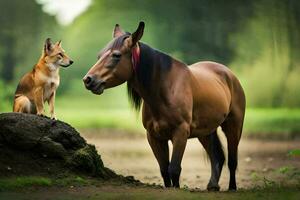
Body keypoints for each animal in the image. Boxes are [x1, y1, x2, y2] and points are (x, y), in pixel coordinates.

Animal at [83, 21, 245, 191]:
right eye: (99, 55)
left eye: (116, 55)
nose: (88, 80)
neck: (166, 90)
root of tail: (228, 74)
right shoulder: (155, 137)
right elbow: (164, 170)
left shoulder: (180, 133)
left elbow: (174, 169)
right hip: (205, 132)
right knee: (217, 157)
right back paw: (213, 185)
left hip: (234, 126)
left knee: (232, 161)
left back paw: (232, 187)